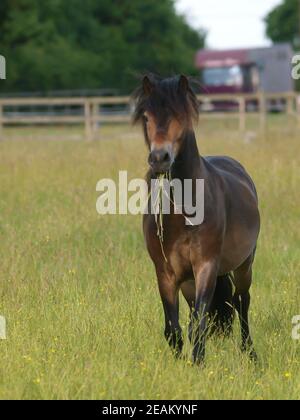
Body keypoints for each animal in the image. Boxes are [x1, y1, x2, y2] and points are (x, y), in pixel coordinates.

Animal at [134, 74, 260, 362]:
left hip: (244, 265)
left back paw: (250, 353)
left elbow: (201, 325)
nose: (159, 157)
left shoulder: (206, 266)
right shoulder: (166, 273)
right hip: (188, 283)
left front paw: (198, 364)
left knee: (242, 302)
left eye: (180, 114)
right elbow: (174, 330)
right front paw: (180, 364)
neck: (180, 215)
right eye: (146, 116)